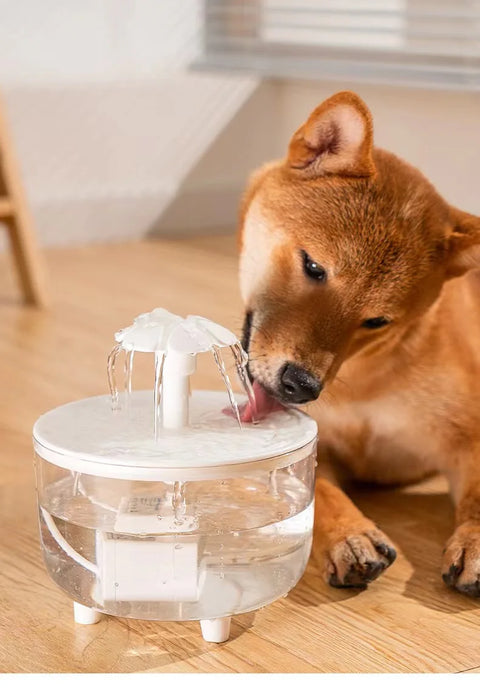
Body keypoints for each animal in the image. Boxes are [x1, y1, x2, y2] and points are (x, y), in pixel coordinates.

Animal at [240, 89, 480, 596]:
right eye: (313, 267)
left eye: (377, 320)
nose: (302, 386)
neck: (361, 380)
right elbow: (324, 490)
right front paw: (350, 537)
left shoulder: (468, 433)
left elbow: (479, 497)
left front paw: (473, 541)